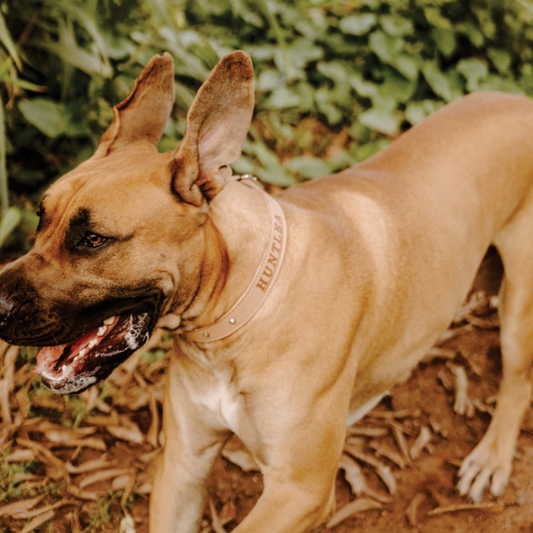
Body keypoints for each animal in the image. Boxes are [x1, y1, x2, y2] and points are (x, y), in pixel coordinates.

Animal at [1, 51, 532, 532]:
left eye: (93, 239)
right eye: (41, 218)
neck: (239, 311)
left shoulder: (299, 491)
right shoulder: (183, 466)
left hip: (519, 309)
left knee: (517, 382)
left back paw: (491, 458)